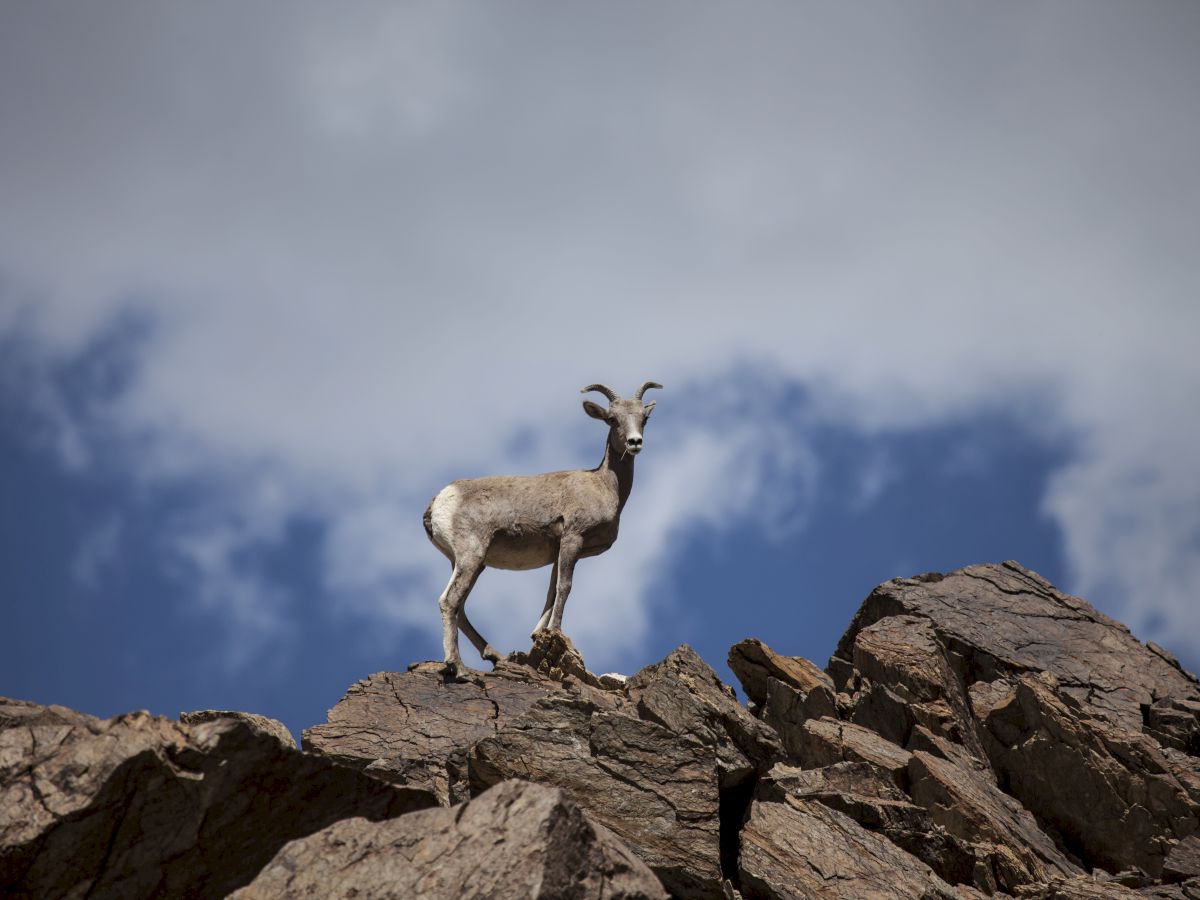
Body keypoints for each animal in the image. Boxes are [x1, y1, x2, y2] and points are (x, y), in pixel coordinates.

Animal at [424, 381, 667, 676]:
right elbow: (565, 587)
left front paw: (537, 634)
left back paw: (496, 656)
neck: (604, 487)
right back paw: (457, 667)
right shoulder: (573, 538)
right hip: (471, 555)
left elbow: (551, 590)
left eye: (645, 418)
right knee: (449, 602)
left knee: (461, 608)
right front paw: (556, 631)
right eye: (612, 419)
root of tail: (440, 500)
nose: (635, 443)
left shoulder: (559, 550)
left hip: (470, 563)